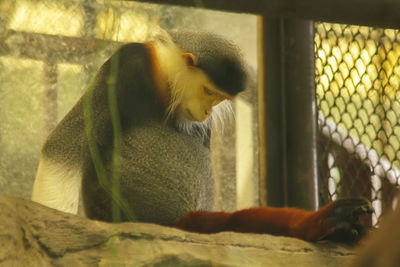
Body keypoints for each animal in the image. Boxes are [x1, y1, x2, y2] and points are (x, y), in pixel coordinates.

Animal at [32, 30, 374, 244]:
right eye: (209, 92)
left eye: (219, 98)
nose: (208, 111)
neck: (164, 82)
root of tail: (175, 225)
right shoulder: (127, 62)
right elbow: (62, 146)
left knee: (237, 222)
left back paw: (333, 222)